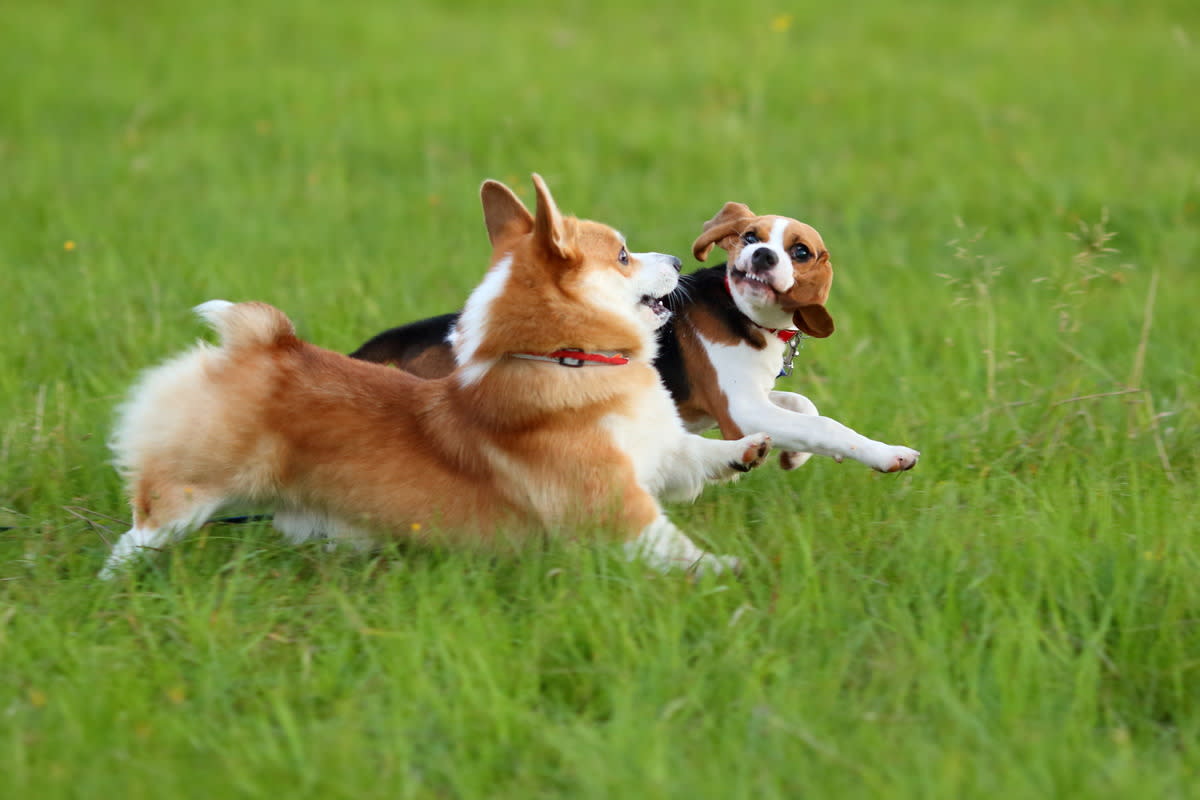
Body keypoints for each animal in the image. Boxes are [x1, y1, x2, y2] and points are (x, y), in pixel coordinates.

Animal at [100, 175, 768, 578]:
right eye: (625, 256)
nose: (678, 259)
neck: (570, 362)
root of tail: (264, 343)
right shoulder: (614, 502)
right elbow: (669, 543)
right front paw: (728, 569)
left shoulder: (658, 455)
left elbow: (696, 455)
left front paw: (749, 450)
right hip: (193, 490)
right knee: (141, 528)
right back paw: (114, 584)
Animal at [348, 203, 916, 474]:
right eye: (751, 237)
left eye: (800, 252)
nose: (761, 256)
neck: (744, 314)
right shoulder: (740, 414)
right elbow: (828, 426)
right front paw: (886, 454)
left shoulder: (748, 400)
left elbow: (804, 404)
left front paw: (795, 457)